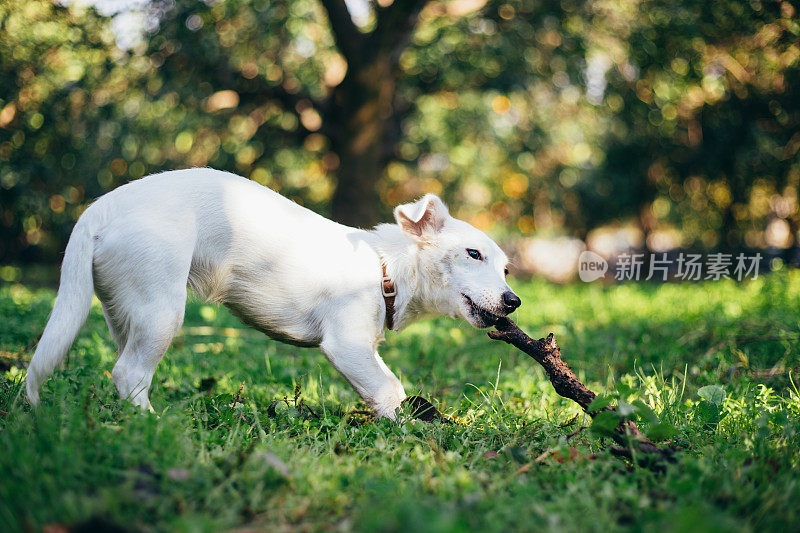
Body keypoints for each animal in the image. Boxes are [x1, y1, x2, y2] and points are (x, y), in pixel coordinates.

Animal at [23, 168, 520, 418]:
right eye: (473, 254)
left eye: (506, 269)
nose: (514, 301)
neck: (384, 268)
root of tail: (100, 209)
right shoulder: (348, 347)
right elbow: (389, 389)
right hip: (161, 311)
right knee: (128, 374)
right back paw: (154, 425)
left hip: (126, 312)